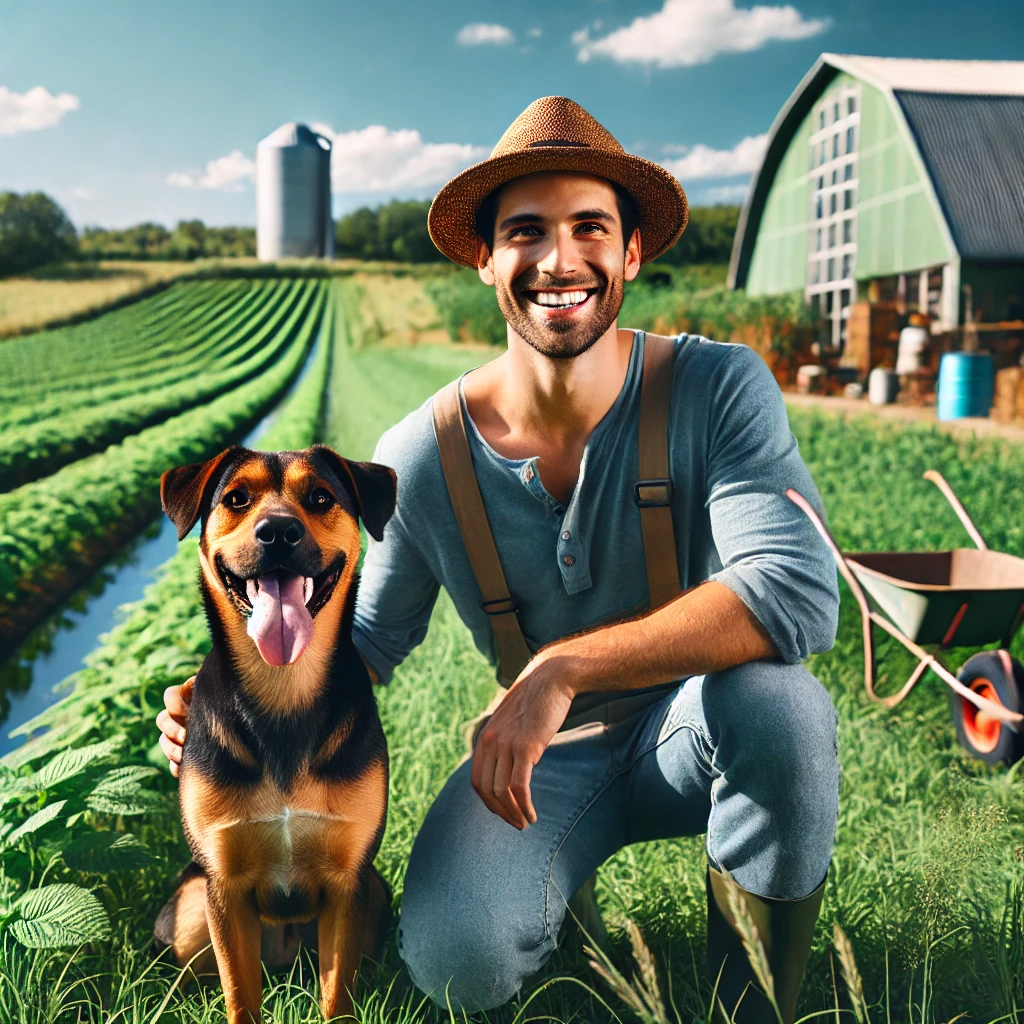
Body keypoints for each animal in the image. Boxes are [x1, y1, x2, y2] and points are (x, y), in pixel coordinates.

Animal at [153, 442, 397, 1024]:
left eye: (321, 497)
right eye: (236, 498)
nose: (279, 531)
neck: (283, 685)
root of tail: (287, 962)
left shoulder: (349, 880)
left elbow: (338, 996)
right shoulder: (223, 886)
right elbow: (239, 995)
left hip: (376, 893)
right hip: (190, 908)